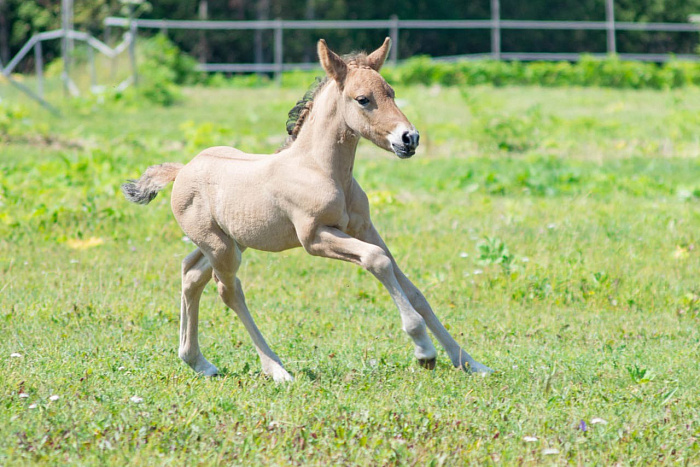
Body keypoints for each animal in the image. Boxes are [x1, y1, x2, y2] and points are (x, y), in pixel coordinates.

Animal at [121, 36, 492, 380]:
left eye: (391, 92)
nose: (409, 139)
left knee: (191, 274)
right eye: (363, 99)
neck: (320, 169)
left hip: (230, 241)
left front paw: (470, 362)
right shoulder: (314, 238)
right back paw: (276, 369)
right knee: (228, 290)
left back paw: (197, 361)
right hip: (222, 248)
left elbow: (412, 289)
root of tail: (182, 169)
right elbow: (377, 261)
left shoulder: (364, 228)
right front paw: (424, 350)